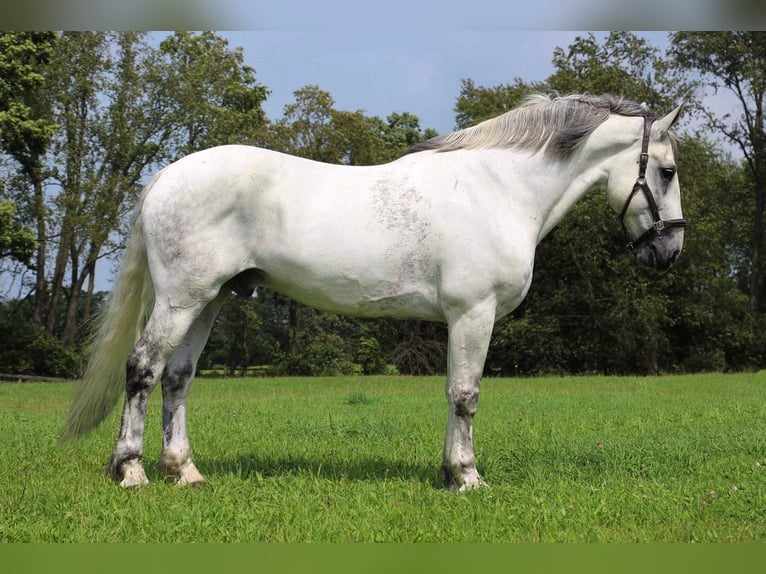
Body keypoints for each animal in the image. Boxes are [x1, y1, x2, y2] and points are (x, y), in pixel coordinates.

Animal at [58, 93, 684, 490]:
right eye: (669, 171)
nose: (670, 251)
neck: (498, 190)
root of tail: (169, 174)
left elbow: (453, 394)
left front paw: (447, 473)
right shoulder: (473, 314)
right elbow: (466, 395)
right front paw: (467, 478)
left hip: (208, 300)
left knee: (177, 377)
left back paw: (184, 471)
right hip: (181, 300)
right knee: (142, 369)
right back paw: (132, 472)